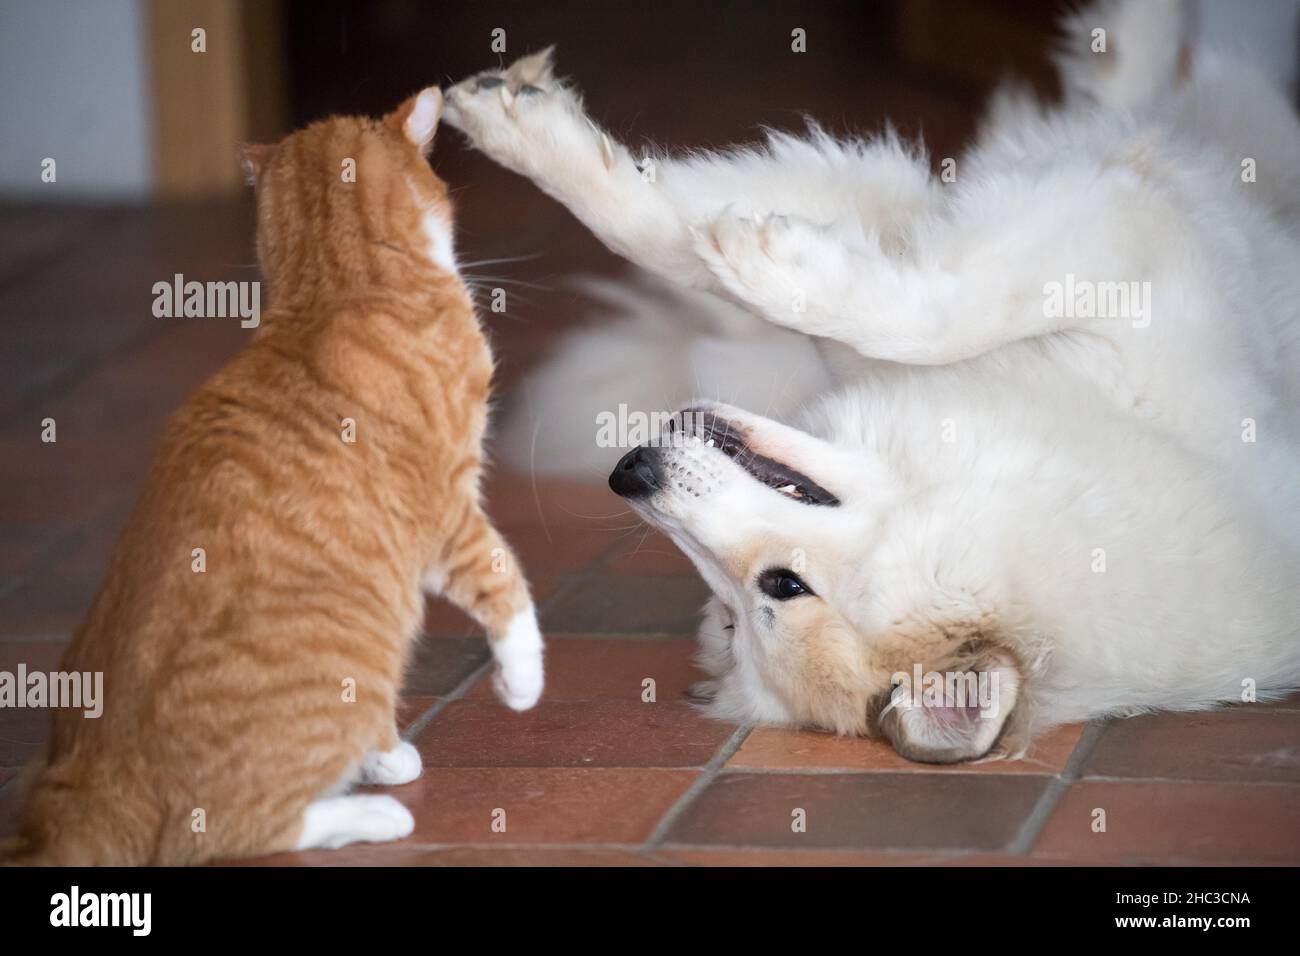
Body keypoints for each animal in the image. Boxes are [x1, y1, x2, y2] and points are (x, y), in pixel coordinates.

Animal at [0, 87, 538, 868]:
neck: (336, 293)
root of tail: (89, 788)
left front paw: (383, 754)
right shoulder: (449, 511)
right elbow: (506, 584)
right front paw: (522, 680)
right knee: (238, 829)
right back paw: (373, 815)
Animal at [439, 0, 1300, 764]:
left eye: (782, 586)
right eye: (733, 616)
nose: (630, 473)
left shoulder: (1128, 238)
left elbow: (932, 308)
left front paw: (768, 258)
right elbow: (673, 237)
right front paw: (529, 131)